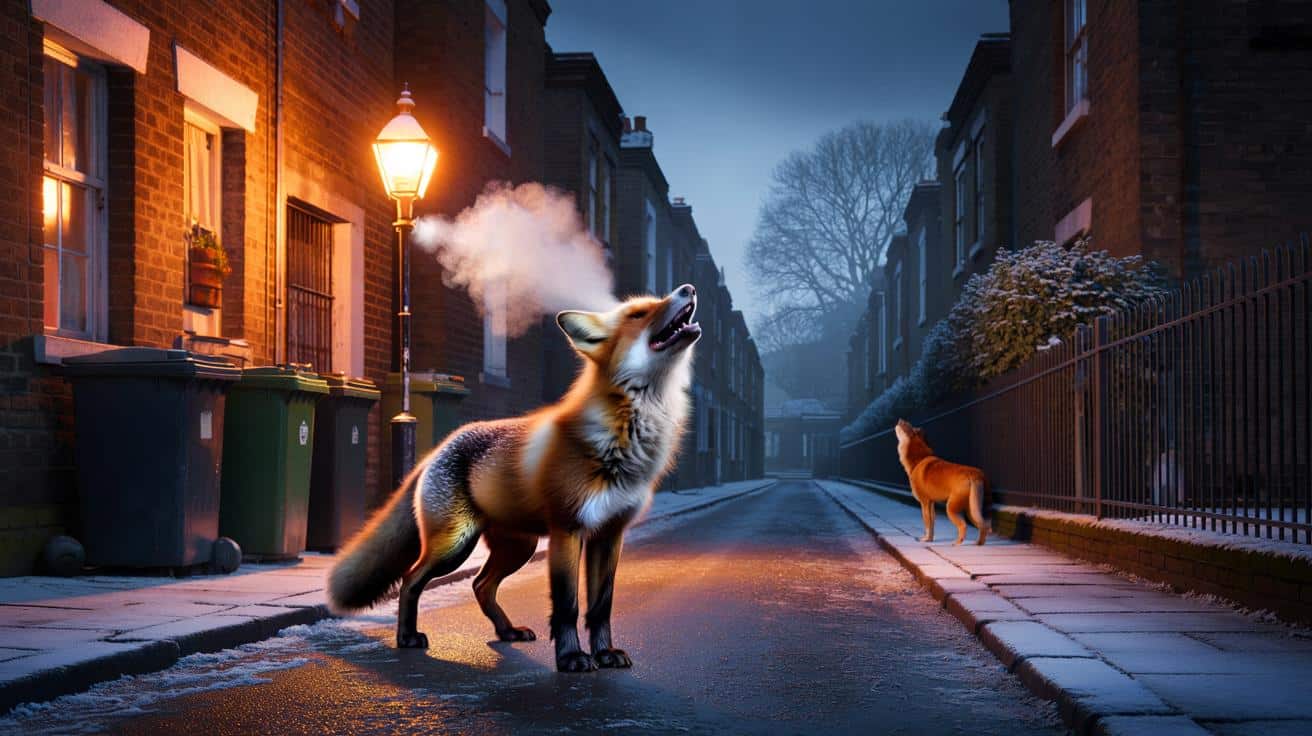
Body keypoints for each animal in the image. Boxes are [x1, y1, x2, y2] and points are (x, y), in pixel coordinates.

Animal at [327, 284, 701, 673]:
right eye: (638, 314)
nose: (687, 289)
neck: (625, 435)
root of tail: (438, 449)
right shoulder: (567, 530)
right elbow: (567, 606)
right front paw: (571, 657)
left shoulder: (610, 534)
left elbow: (601, 606)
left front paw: (605, 653)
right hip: (455, 545)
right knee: (410, 579)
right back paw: (407, 638)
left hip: (518, 548)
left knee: (481, 585)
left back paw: (507, 632)